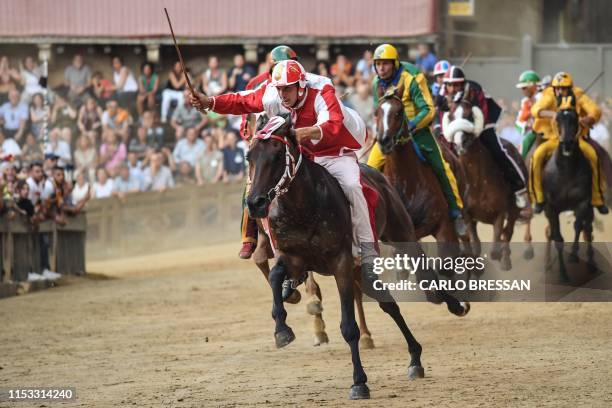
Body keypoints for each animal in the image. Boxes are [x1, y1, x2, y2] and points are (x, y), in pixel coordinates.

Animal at [244, 114, 468, 398]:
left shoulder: (340, 262)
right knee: (389, 304)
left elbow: (349, 327)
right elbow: (275, 276)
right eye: (249, 156)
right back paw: (415, 359)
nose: (255, 203)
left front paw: (359, 382)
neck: (304, 207)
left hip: (399, 233)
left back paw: (454, 305)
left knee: (424, 274)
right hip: (360, 268)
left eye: (275, 154)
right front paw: (282, 329)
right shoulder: (293, 258)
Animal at [544, 108, 596, 278]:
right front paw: (562, 273)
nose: (566, 143)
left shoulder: (583, 202)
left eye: (575, 120)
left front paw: (573, 254)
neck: (566, 171)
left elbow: (578, 225)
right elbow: (557, 237)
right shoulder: (551, 208)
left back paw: (591, 264)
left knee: (588, 230)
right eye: (557, 120)